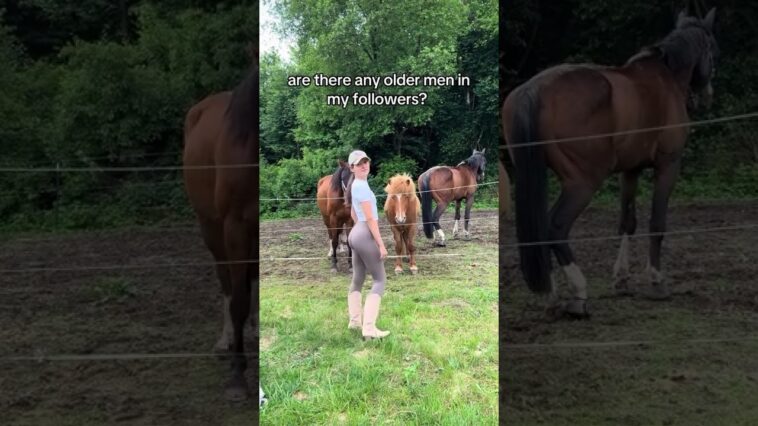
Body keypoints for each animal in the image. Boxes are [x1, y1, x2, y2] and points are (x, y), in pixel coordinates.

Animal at [501, 9, 718, 318]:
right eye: (712, 49)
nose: (707, 95)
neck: (664, 77)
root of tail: (535, 89)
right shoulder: (668, 165)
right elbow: (657, 223)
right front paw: (656, 281)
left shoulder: (630, 171)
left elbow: (627, 222)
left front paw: (622, 279)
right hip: (583, 183)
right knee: (556, 227)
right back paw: (578, 294)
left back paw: (552, 296)